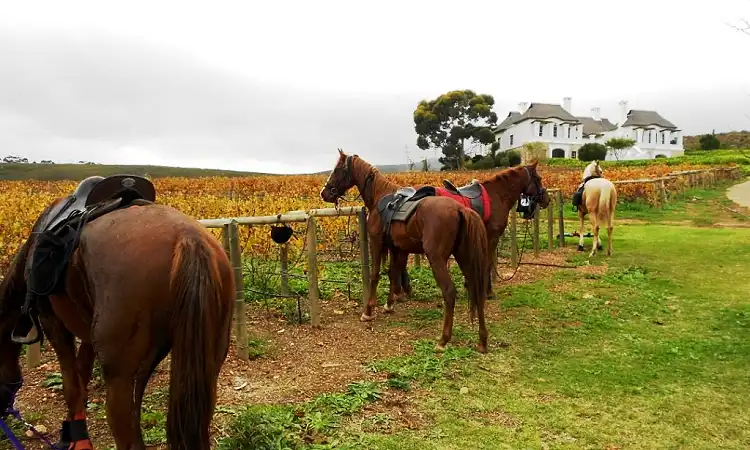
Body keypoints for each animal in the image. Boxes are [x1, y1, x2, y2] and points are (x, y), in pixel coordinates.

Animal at [0, 175, 234, 450]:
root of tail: (187, 238)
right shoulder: (88, 334)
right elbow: (82, 376)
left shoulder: (53, 323)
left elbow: (71, 385)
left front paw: (75, 438)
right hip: (207, 364)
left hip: (119, 375)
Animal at [319, 149, 491, 353]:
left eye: (338, 169)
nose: (324, 193)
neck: (380, 196)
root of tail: (460, 209)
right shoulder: (399, 249)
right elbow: (393, 273)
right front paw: (389, 304)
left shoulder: (376, 243)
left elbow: (376, 274)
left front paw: (368, 311)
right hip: (464, 257)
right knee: (476, 288)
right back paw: (482, 341)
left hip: (437, 259)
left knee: (449, 292)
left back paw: (443, 340)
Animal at [385, 161, 551, 301]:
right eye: (539, 178)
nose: (547, 200)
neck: (496, 195)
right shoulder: (492, 238)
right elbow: (488, 263)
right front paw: (488, 292)